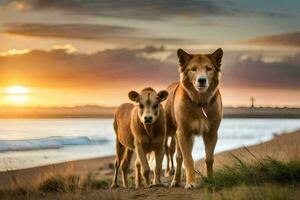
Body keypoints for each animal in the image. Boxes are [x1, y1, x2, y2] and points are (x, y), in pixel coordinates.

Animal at [165, 47, 224, 188]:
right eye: (193, 69)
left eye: (209, 68)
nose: (202, 80)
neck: (199, 102)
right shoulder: (183, 133)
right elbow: (188, 159)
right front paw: (191, 182)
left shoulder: (211, 132)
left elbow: (209, 158)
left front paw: (211, 180)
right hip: (174, 134)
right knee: (178, 157)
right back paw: (175, 180)